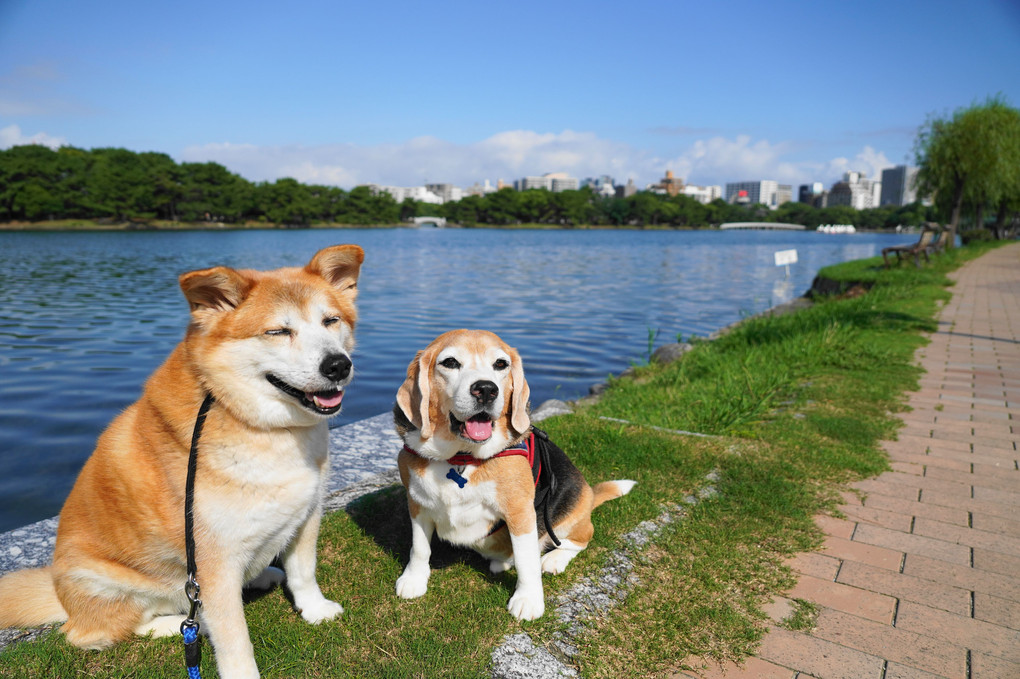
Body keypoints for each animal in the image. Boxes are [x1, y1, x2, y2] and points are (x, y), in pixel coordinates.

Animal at [0, 243, 365, 676]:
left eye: (331, 321)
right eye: (278, 331)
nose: (338, 364)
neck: (266, 429)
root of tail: (58, 591)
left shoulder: (307, 512)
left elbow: (304, 571)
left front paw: (315, 609)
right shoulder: (211, 557)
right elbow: (234, 637)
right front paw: (242, 669)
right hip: (105, 581)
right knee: (99, 632)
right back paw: (180, 624)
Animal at [393, 328, 632, 619]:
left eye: (500, 364)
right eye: (449, 362)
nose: (486, 389)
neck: (461, 457)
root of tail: (589, 495)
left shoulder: (520, 511)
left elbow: (527, 561)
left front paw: (528, 599)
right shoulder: (417, 504)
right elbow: (419, 547)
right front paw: (414, 579)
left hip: (569, 512)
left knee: (579, 540)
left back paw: (553, 559)